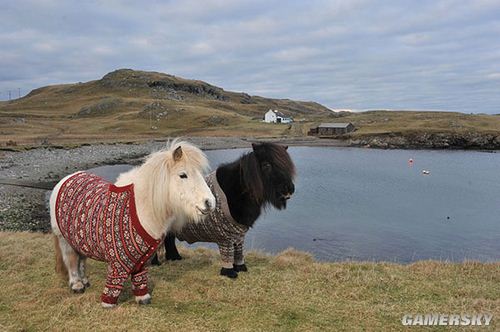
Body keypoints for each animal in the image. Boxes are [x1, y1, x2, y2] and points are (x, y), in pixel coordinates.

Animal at [50, 139, 215, 306]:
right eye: (183, 175)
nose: (210, 203)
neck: (140, 209)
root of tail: (66, 179)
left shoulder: (142, 259)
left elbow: (140, 279)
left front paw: (143, 298)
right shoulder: (116, 261)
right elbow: (114, 282)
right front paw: (108, 303)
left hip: (79, 239)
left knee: (81, 259)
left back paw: (85, 281)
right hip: (64, 239)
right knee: (71, 260)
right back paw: (77, 285)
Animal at [150, 142, 294, 278]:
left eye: (287, 166)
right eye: (266, 165)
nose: (289, 189)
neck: (236, 191)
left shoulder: (238, 235)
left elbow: (239, 253)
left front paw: (241, 268)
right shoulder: (226, 237)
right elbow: (228, 255)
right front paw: (229, 272)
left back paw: (175, 258)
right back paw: (155, 263)